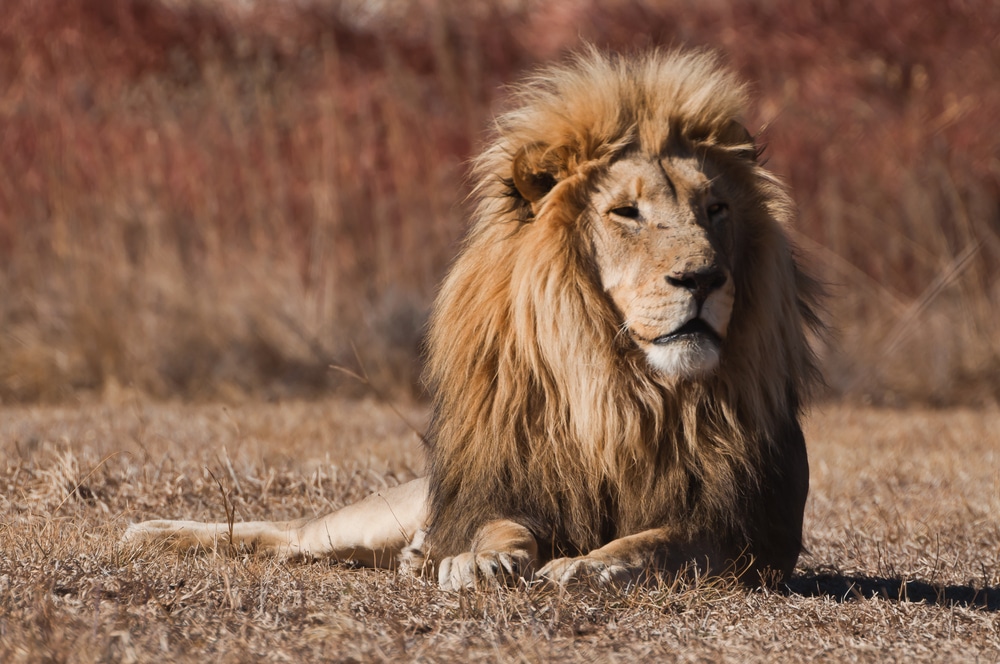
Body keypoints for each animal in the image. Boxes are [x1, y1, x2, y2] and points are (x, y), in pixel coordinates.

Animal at [123, 50, 820, 592]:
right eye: (626, 212)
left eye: (715, 209)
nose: (703, 278)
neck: (620, 386)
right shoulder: (508, 485)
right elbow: (499, 527)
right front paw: (481, 562)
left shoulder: (747, 533)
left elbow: (659, 542)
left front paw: (584, 565)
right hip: (390, 509)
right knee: (288, 531)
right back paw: (149, 532)